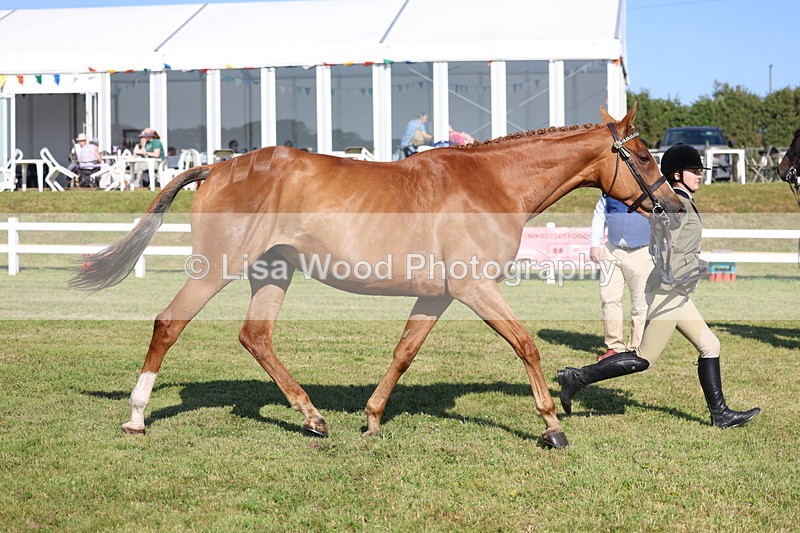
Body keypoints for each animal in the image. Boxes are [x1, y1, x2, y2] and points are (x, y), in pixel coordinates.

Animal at [71, 103, 683, 448]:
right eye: (643, 157)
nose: (675, 207)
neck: (492, 183)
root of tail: (217, 167)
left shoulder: (439, 296)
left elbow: (404, 352)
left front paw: (370, 419)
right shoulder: (475, 288)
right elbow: (526, 345)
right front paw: (552, 427)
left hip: (272, 272)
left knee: (256, 337)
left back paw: (313, 419)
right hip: (217, 268)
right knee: (169, 324)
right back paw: (137, 417)